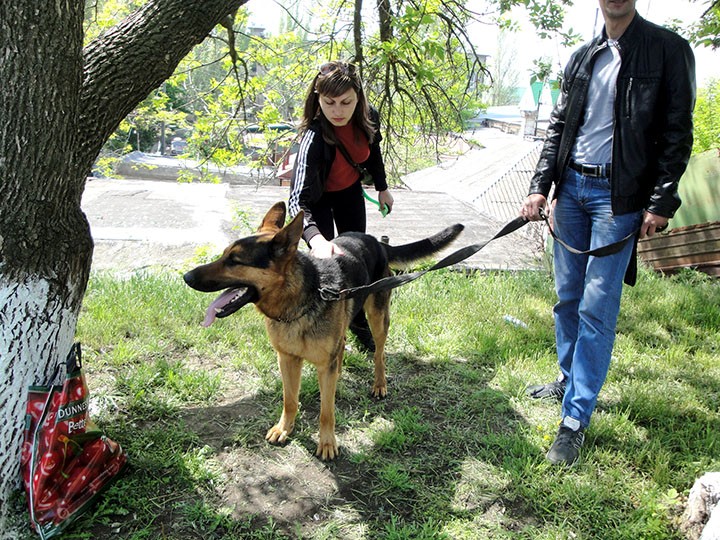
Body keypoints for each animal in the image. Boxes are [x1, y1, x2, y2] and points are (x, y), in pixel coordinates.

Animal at [181, 201, 462, 460]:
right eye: (224, 255)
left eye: (234, 261)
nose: (186, 277)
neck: (298, 303)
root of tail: (376, 241)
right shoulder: (287, 360)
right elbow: (290, 400)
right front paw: (284, 428)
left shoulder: (322, 367)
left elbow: (327, 411)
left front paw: (327, 443)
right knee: (342, 347)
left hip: (378, 318)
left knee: (379, 354)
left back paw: (379, 383)